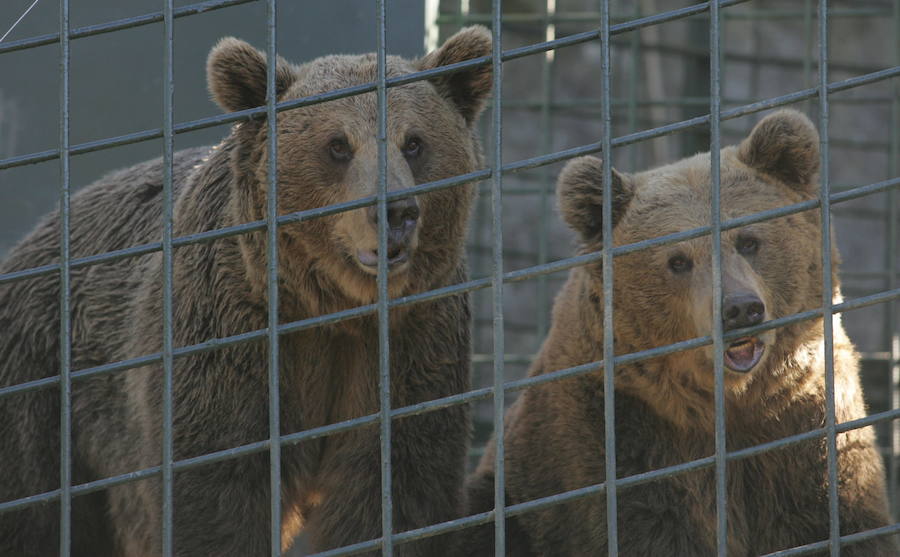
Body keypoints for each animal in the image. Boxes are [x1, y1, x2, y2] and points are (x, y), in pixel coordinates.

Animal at [0, 27, 492, 556]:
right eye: (338, 145)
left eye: (414, 142)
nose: (395, 211)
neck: (330, 306)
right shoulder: (228, 338)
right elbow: (218, 494)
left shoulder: (411, 342)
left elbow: (395, 488)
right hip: (43, 378)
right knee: (32, 508)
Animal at [460, 109, 896, 556]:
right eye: (678, 260)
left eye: (749, 240)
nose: (740, 309)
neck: (727, 402)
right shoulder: (621, 443)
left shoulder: (807, 430)